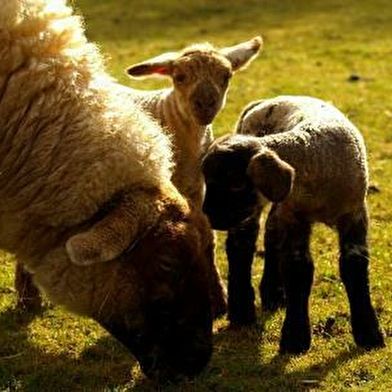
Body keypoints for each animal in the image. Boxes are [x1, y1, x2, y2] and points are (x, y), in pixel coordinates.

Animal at [202, 95, 386, 356]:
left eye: (236, 184)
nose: (209, 214)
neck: (313, 156)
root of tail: (264, 101)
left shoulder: (354, 213)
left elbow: (354, 265)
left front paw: (369, 334)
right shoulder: (296, 217)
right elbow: (299, 270)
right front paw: (295, 338)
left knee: (271, 235)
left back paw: (273, 295)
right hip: (254, 211)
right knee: (242, 245)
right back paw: (242, 311)